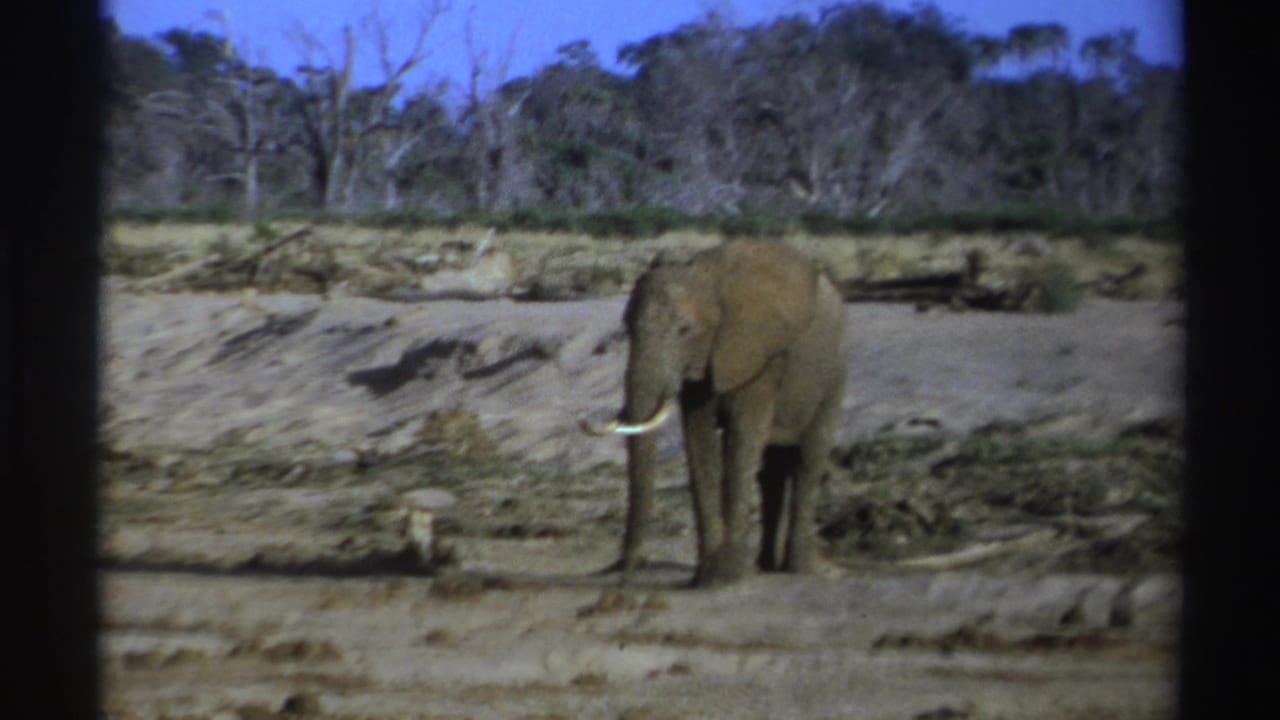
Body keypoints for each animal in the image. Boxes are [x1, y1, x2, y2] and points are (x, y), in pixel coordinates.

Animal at [581, 240, 848, 587]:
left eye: (684, 329)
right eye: (627, 327)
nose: (627, 568)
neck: (706, 274)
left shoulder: (759, 355)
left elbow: (741, 438)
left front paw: (728, 576)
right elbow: (699, 440)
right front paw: (707, 578)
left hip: (834, 374)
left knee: (808, 459)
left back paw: (802, 570)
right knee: (771, 471)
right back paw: (764, 566)